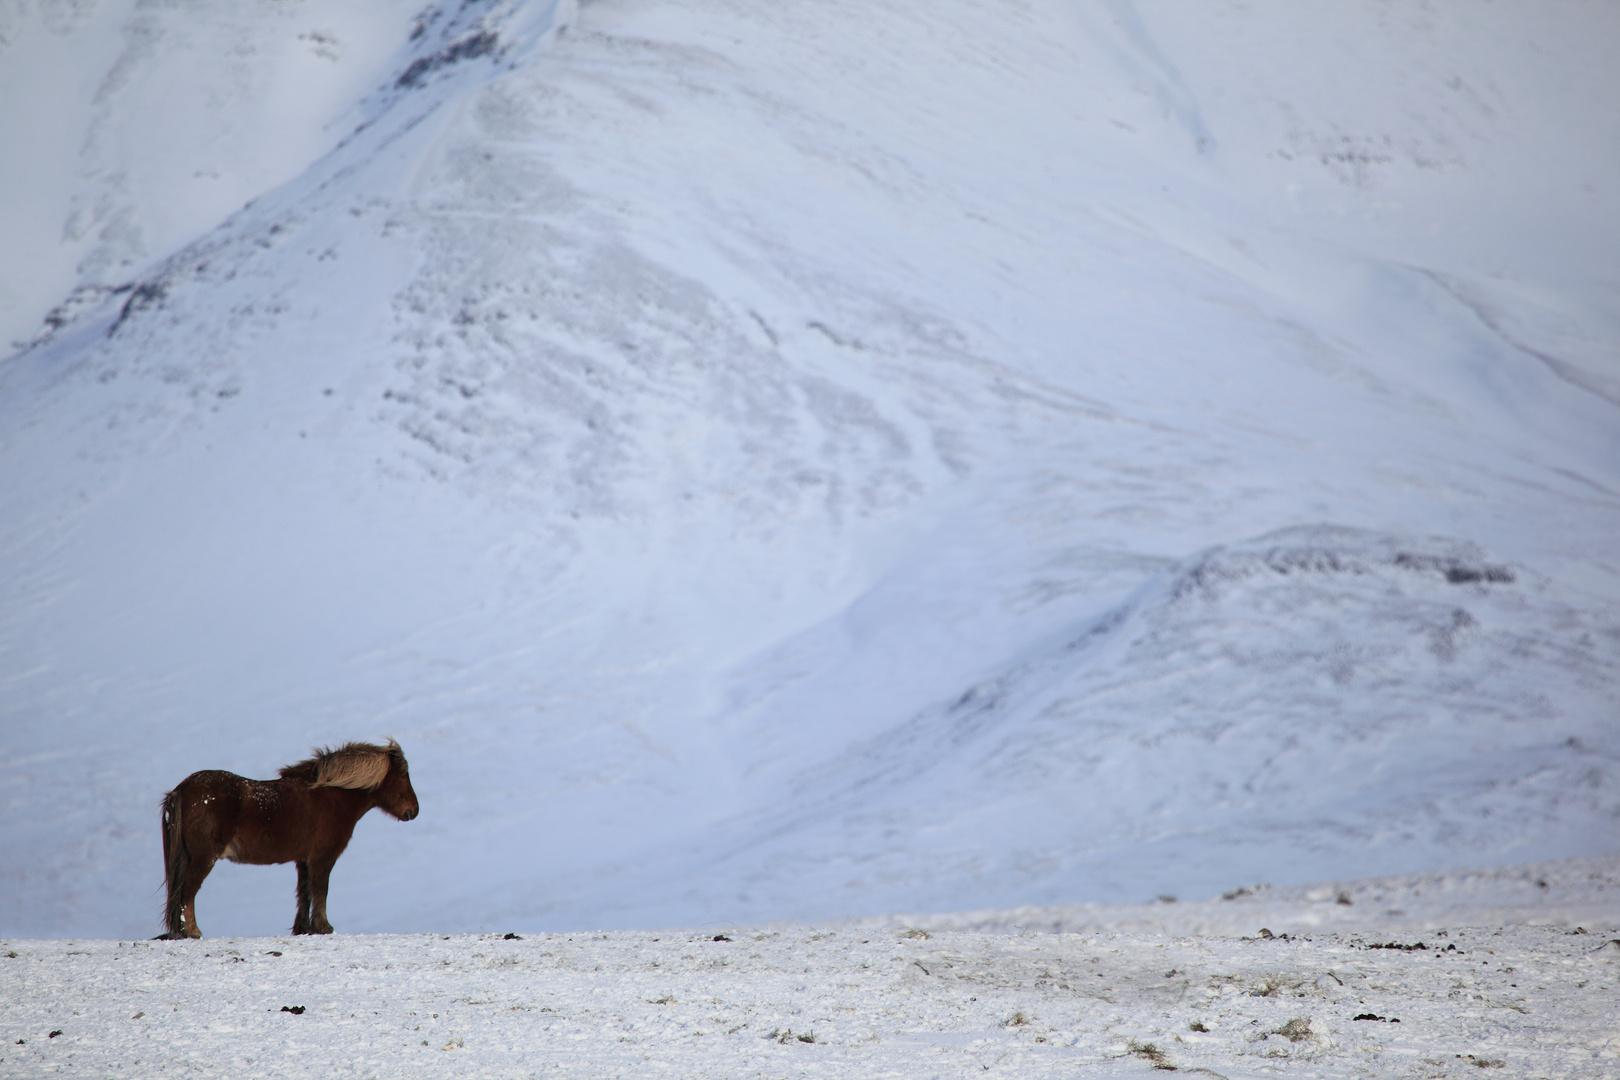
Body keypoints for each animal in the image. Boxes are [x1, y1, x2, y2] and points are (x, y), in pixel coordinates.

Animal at [156, 744, 417, 939]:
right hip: (204, 858)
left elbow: (304, 893)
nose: (414, 811)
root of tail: (182, 790)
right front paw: (324, 927)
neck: (330, 796)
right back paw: (193, 931)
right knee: (188, 891)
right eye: (404, 777)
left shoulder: (304, 860)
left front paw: (304, 929)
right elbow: (320, 889)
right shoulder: (323, 858)